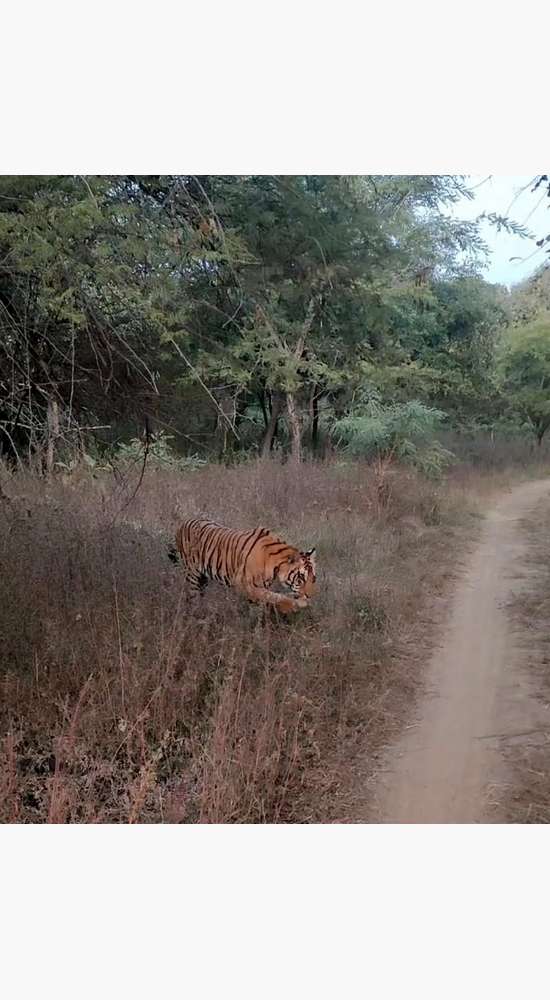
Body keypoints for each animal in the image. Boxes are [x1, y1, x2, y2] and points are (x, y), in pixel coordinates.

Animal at [168, 517, 317, 614]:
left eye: (313, 578)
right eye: (300, 578)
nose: (310, 596)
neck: (275, 565)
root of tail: (182, 524)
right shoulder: (243, 583)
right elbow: (273, 596)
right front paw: (292, 606)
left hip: (202, 578)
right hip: (192, 575)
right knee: (192, 598)